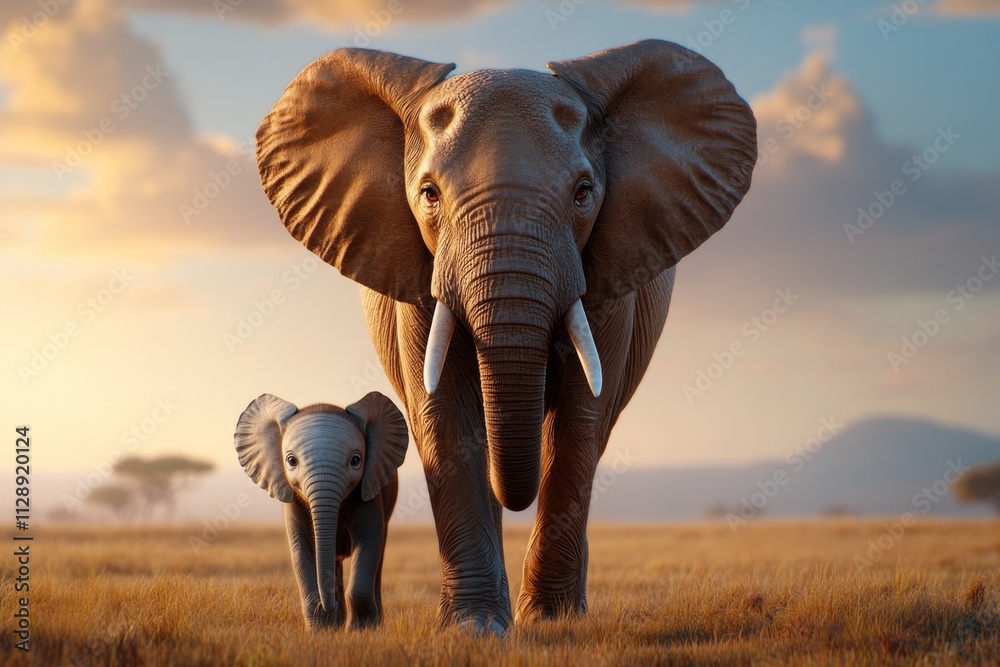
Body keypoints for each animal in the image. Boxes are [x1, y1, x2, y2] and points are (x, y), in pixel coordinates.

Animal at [234, 391, 408, 631]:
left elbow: (369, 540)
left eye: (356, 461)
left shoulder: (369, 493)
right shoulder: (293, 502)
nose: (331, 604)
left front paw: (361, 632)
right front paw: (320, 632)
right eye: (291, 461)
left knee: (378, 556)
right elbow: (301, 548)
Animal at [255, 39, 756, 633]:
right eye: (429, 194)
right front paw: (474, 629)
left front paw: (551, 623)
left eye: (583, 193)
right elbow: (443, 411)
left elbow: (581, 418)